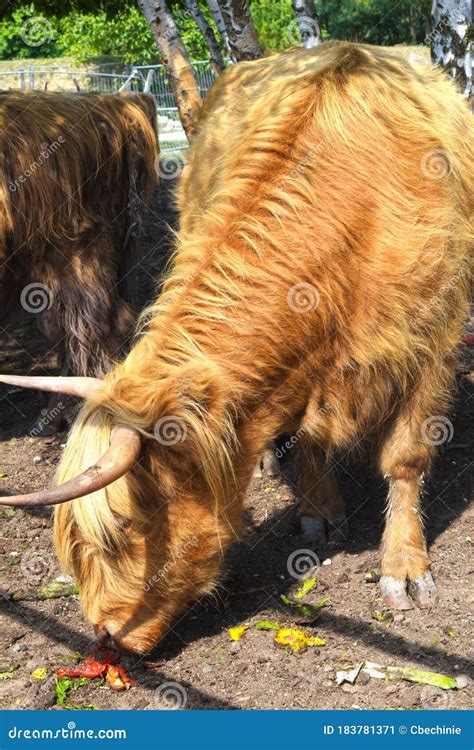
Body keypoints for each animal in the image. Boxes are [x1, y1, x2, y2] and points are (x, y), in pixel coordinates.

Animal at [0, 44, 474, 652]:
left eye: (124, 526)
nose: (105, 636)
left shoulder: (434, 342)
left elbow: (406, 458)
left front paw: (406, 569)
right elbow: (312, 436)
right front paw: (320, 510)